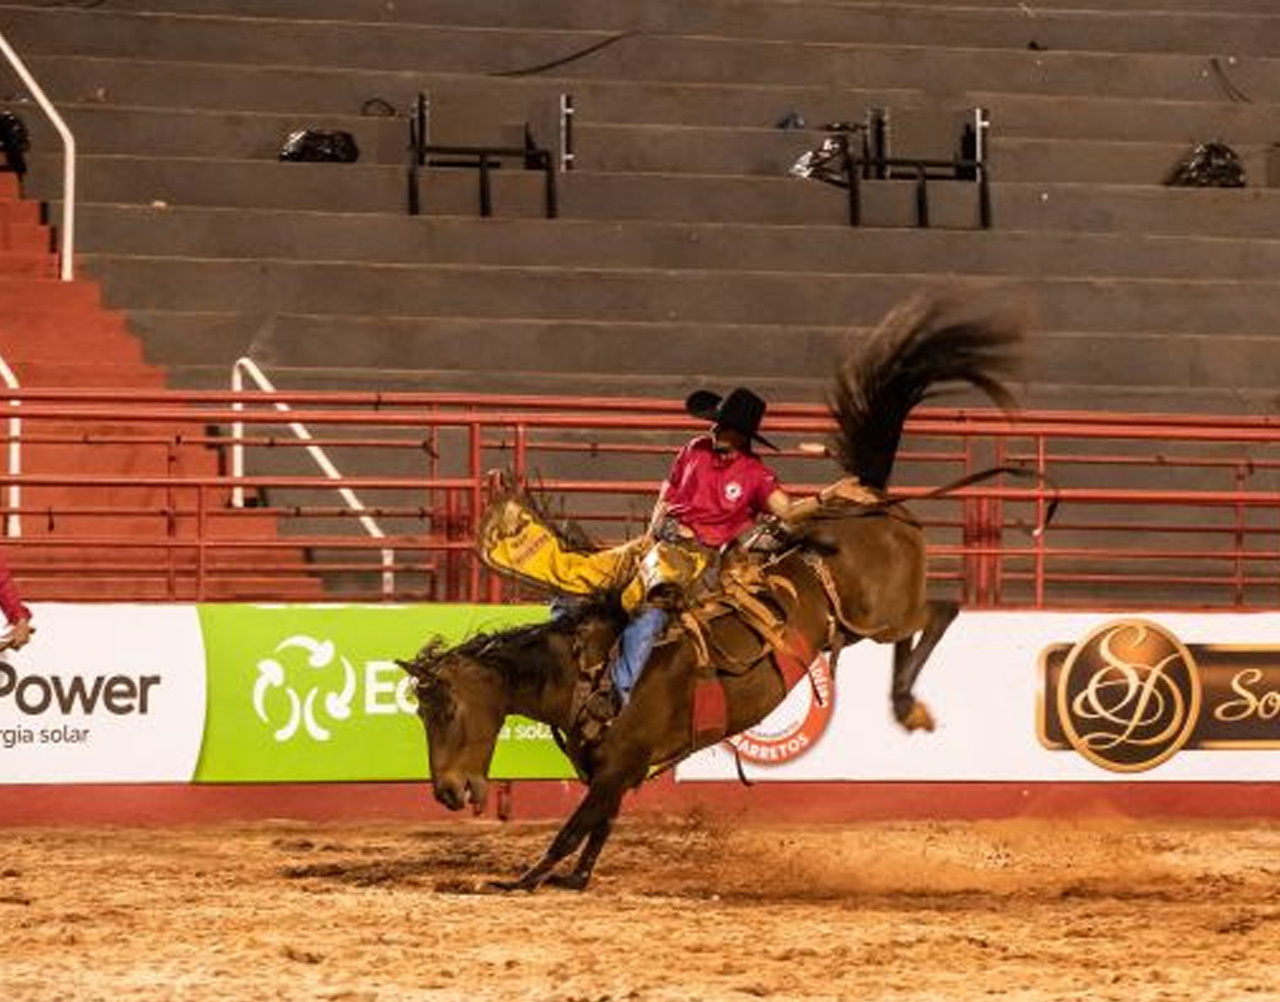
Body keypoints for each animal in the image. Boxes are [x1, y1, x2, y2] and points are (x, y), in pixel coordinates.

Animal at [394, 291, 1024, 895]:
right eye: (419, 711)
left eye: (444, 708)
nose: (447, 792)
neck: (581, 670)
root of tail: (866, 494)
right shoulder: (616, 775)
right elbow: (598, 830)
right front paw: (573, 879)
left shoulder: (617, 766)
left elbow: (571, 831)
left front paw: (519, 880)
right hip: (862, 624)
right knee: (911, 634)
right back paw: (905, 703)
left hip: (886, 610)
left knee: (941, 611)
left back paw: (907, 703)